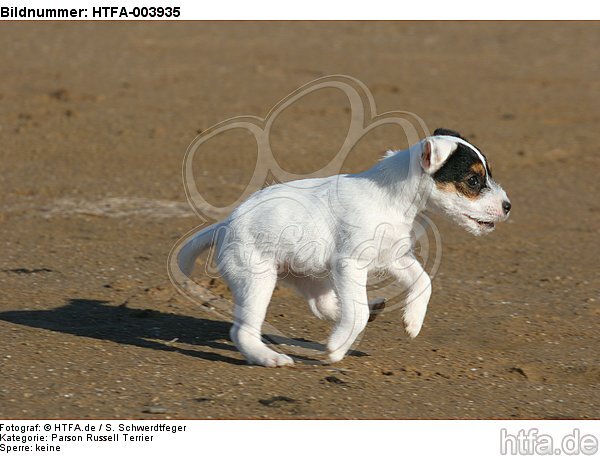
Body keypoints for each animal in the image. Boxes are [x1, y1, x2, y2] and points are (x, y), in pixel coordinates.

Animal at [175, 128, 510, 366]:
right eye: (472, 180)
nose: (508, 206)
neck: (392, 198)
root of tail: (226, 224)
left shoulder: (393, 256)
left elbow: (423, 281)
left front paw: (413, 321)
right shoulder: (351, 264)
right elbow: (356, 312)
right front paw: (337, 348)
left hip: (309, 276)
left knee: (324, 306)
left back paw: (368, 309)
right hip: (257, 280)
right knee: (243, 331)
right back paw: (269, 358)